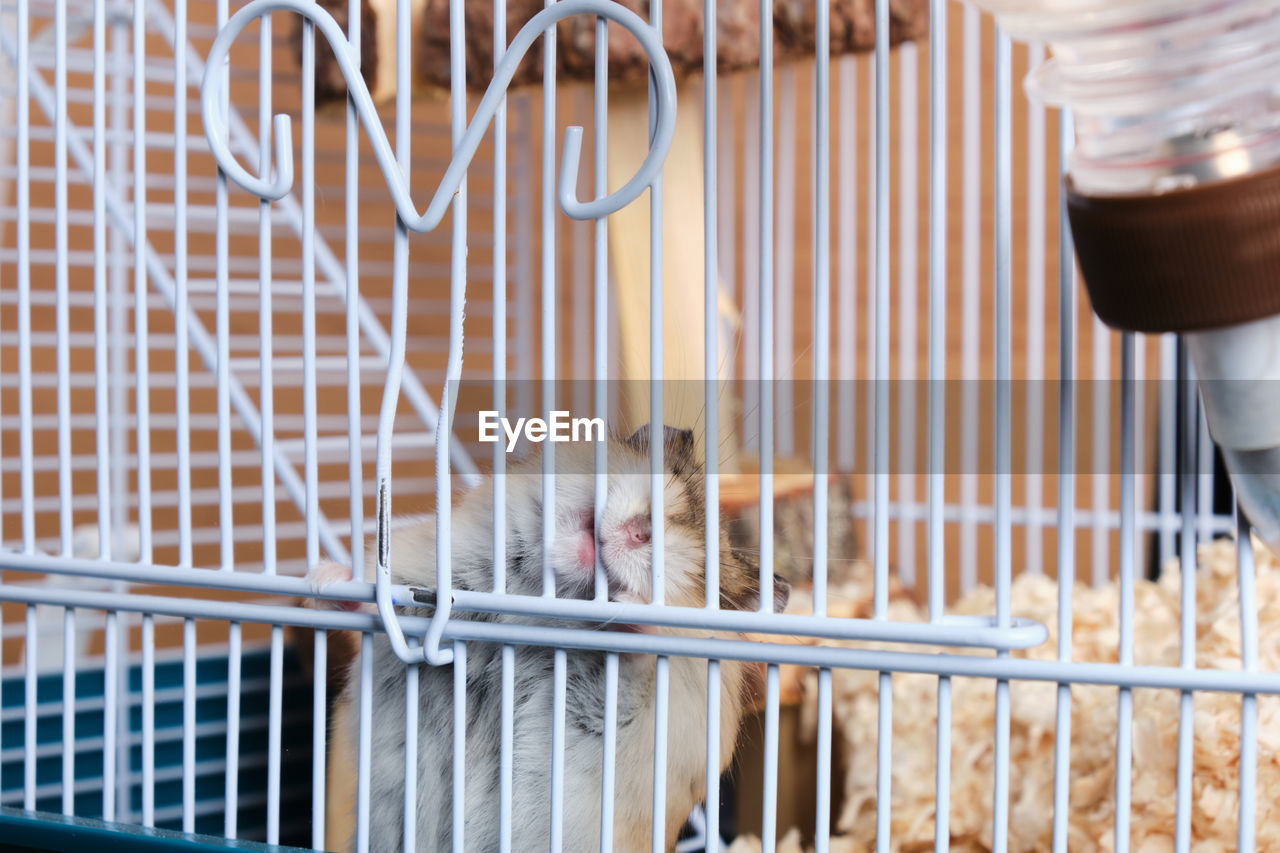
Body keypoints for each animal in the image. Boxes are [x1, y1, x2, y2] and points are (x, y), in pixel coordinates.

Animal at [312, 422, 788, 850]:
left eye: (706, 580)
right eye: (668, 474)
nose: (640, 532)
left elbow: (634, 663)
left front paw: (632, 608)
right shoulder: (428, 583)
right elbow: (379, 602)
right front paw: (326, 579)